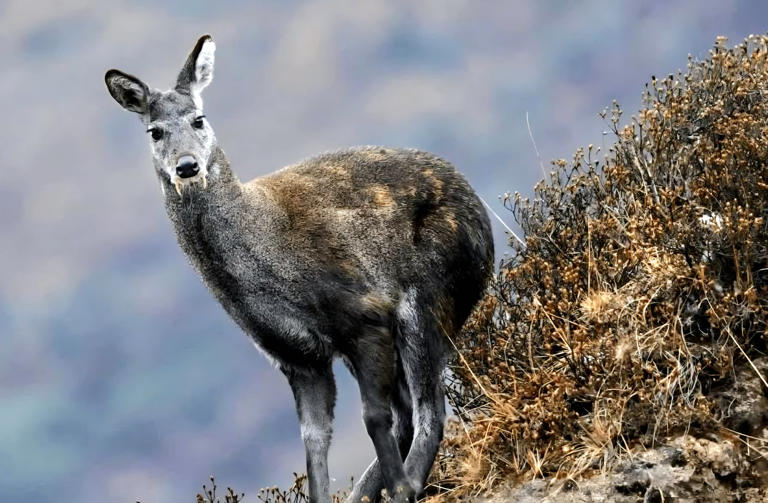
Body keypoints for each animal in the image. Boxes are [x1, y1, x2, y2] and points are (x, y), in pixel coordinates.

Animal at [105, 35, 493, 503]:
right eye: (154, 131)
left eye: (199, 119)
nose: (186, 166)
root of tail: (481, 216)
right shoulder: (296, 355)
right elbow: (314, 441)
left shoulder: (364, 314)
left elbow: (373, 416)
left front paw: (401, 487)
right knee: (412, 411)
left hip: (429, 295)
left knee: (428, 408)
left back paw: (408, 485)